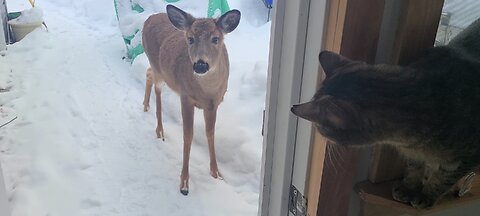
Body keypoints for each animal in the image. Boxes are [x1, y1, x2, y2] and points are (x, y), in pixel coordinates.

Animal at [142, 5, 240, 195]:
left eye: (216, 38)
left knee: (148, 73)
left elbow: (210, 133)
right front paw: (184, 183)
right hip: (158, 67)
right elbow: (188, 135)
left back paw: (145, 106)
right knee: (156, 85)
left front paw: (217, 173)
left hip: (159, 70)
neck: (207, 92)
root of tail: (149, 18)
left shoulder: (213, 105)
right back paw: (159, 129)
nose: (200, 65)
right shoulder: (186, 97)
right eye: (190, 38)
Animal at [290, 18, 480, 209]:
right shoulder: (413, 154)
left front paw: (425, 194)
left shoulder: (466, 157)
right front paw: (408, 188)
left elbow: (442, 179)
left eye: (320, 128)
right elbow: (415, 167)